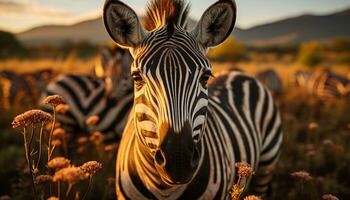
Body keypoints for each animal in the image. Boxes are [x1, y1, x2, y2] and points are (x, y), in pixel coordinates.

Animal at [102, 0, 284, 198]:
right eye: (136, 78)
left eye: (205, 77)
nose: (178, 162)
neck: (164, 188)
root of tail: (238, 73)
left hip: (267, 165)